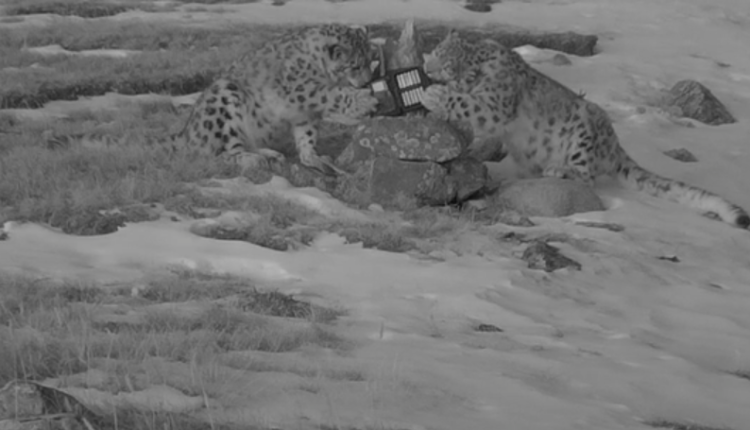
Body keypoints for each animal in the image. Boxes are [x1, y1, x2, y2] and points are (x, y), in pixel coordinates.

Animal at [44, 23, 379, 175]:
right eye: (354, 65)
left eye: (371, 60)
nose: (366, 81)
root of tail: (186, 133)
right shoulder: (300, 88)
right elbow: (329, 94)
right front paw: (363, 101)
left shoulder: (304, 114)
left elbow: (307, 135)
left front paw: (315, 158)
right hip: (224, 100)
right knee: (219, 153)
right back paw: (255, 158)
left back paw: (270, 154)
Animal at [419, 29, 750, 229]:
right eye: (435, 51)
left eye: (445, 63)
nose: (426, 68)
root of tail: (614, 146)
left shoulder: (495, 103)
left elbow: (468, 104)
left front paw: (434, 96)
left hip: (582, 134)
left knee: (587, 177)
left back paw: (559, 170)